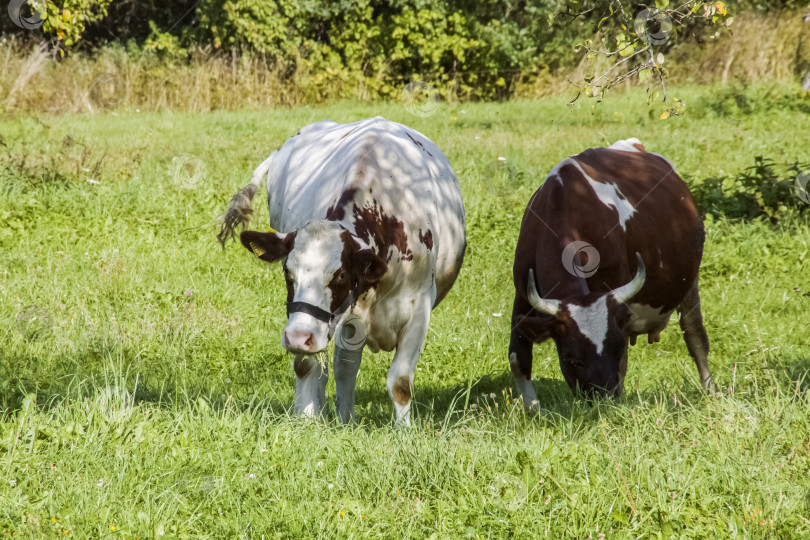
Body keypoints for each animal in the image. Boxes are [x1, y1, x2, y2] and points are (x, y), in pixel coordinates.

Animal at [219, 117, 468, 426]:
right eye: (288, 273)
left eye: (339, 276)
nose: (297, 337)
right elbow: (310, 366)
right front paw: (305, 418)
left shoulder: (419, 308)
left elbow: (400, 381)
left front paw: (404, 430)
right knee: (342, 367)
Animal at [508, 139, 712, 404]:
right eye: (572, 358)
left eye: (617, 348)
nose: (603, 400)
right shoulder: (522, 295)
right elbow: (518, 358)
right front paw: (533, 409)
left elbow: (623, 367)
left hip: (690, 280)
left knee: (695, 335)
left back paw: (709, 391)